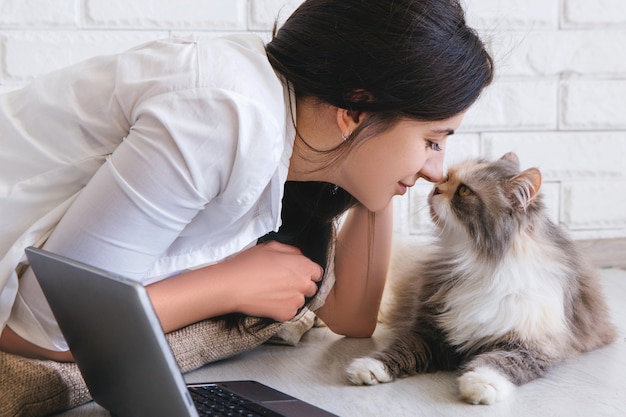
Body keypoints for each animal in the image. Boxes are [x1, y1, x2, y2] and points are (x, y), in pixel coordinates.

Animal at [346, 152, 616, 404]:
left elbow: (499, 362)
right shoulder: (431, 331)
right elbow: (401, 349)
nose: (436, 188)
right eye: (446, 178)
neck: (478, 262)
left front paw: (479, 385)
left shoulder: (532, 343)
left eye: (464, 191)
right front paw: (367, 368)